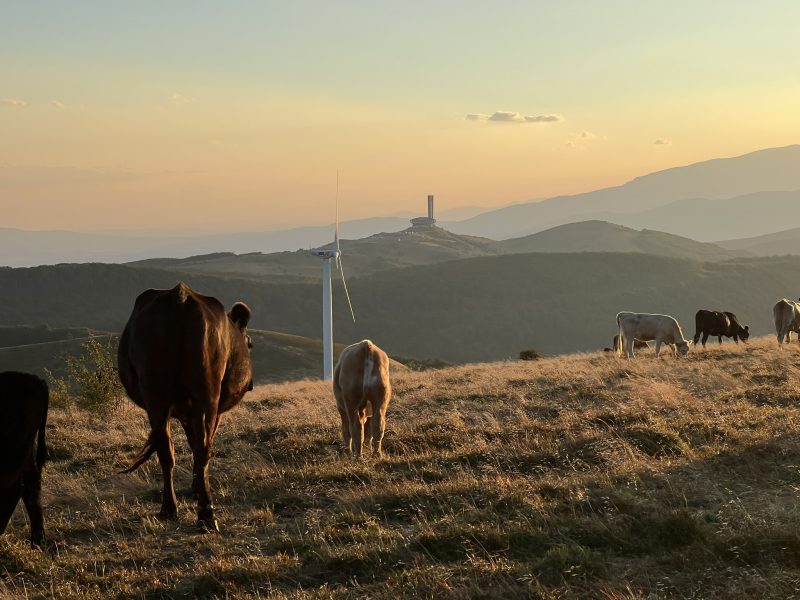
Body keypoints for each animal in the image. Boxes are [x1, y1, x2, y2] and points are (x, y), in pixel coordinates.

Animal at [115, 282, 252, 528]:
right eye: (250, 344)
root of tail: (180, 297)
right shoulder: (209, 411)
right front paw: (197, 488)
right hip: (206, 395)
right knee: (203, 449)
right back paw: (206, 514)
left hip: (156, 398)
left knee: (165, 451)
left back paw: (169, 508)